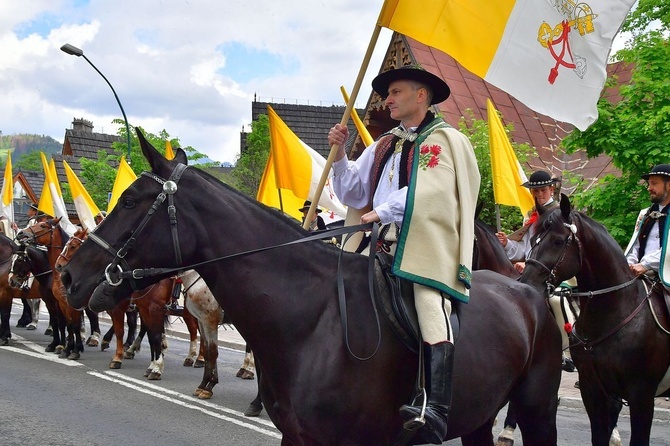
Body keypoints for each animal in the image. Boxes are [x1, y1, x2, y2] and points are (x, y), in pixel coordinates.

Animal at [60, 132, 564, 446]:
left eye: (129, 201)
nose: (68, 278)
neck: (313, 320)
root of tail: (528, 290)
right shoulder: (297, 435)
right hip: (479, 414)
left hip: (537, 412)